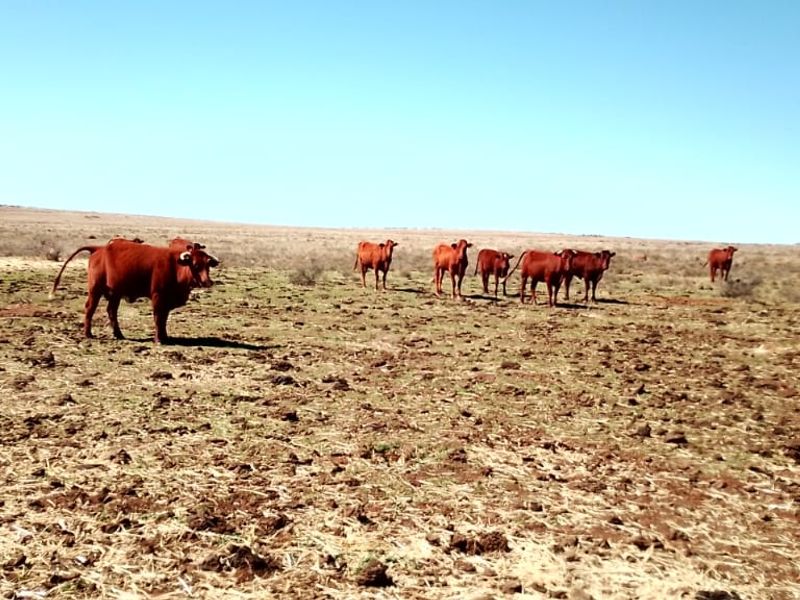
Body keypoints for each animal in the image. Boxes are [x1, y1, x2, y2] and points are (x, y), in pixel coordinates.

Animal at [50, 238, 219, 344]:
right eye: (195, 265)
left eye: (208, 265)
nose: (208, 282)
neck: (176, 266)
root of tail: (99, 249)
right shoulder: (158, 297)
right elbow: (158, 318)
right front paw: (159, 339)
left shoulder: (166, 301)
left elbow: (164, 319)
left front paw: (165, 337)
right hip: (95, 290)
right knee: (90, 309)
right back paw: (88, 334)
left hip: (115, 293)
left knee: (111, 311)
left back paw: (118, 335)